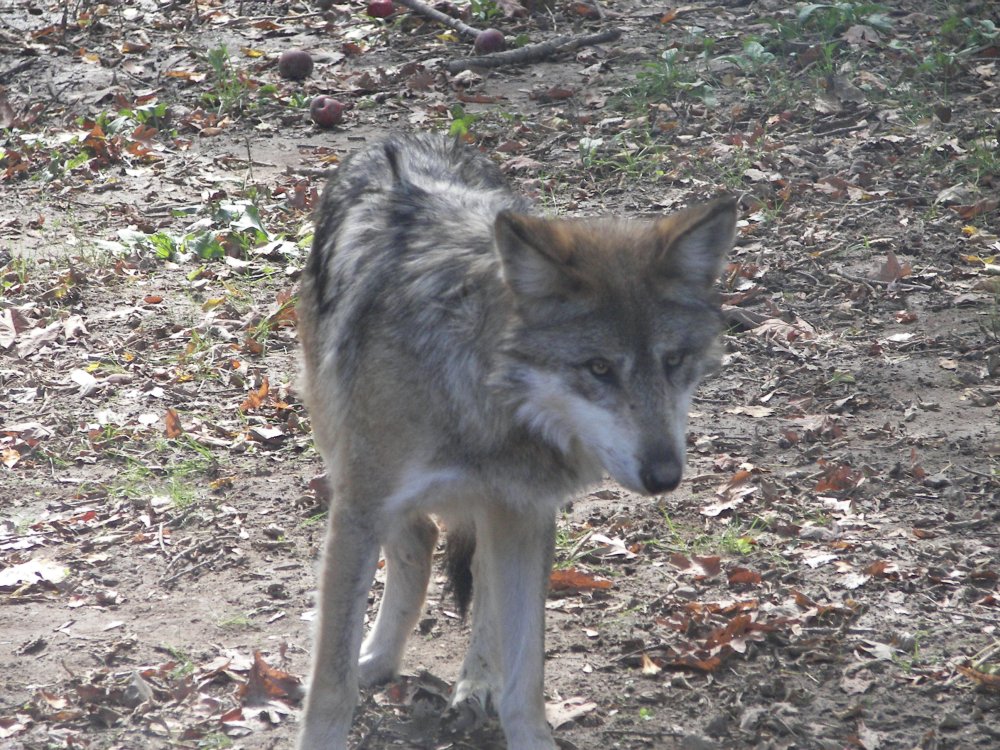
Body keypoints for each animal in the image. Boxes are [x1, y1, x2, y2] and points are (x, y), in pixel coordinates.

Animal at [292, 134, 740, 750]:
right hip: (337, 445)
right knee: (420, 542)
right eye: (598, 368)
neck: (487, 400)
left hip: (495, 507)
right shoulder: (360, 507)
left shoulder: (526, 512)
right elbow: (330, 688)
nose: (665, 476)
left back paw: (474, 681)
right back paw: (380, 660)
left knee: (472, 571)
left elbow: (526, 679)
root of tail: (402, 135)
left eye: (673, 362)